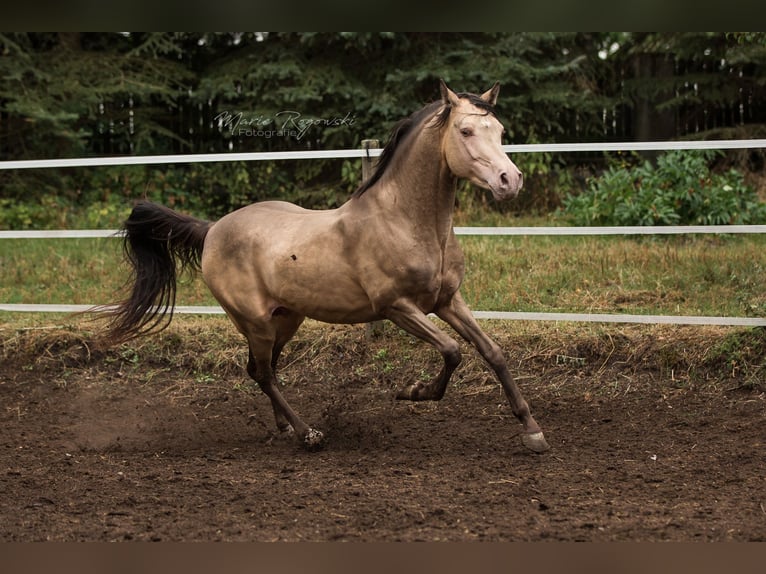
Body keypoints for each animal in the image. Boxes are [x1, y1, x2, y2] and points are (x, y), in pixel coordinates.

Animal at [103, 80, 550, 454]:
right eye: (466, 132)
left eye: (500, 131)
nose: (510, 180)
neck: (406, 221)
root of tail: (212, 230)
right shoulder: (396, 307)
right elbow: (453, 351)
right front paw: (413, 391)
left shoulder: (447, 301)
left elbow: (493, 352)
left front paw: (532, 431)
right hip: (255, 322)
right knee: (263, 374)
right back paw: (308, 434)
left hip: (286, 319)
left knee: (261, 369)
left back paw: (285, 427)